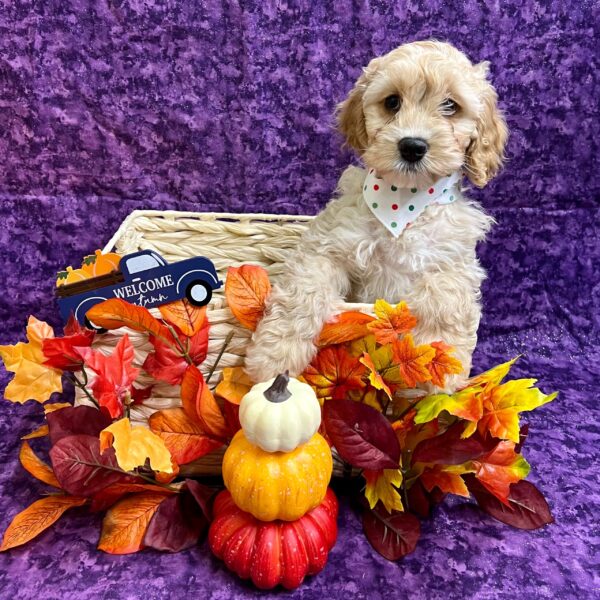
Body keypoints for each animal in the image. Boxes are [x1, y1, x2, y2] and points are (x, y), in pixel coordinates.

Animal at [246, 41, 508, 390]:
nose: (412, 146)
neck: (404, 202)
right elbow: (303, 293)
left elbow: (445, 301)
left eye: (451, 105)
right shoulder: (326, 246)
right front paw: (274, 356)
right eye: (392, 102)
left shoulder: (454, 264)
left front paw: (442, 375)